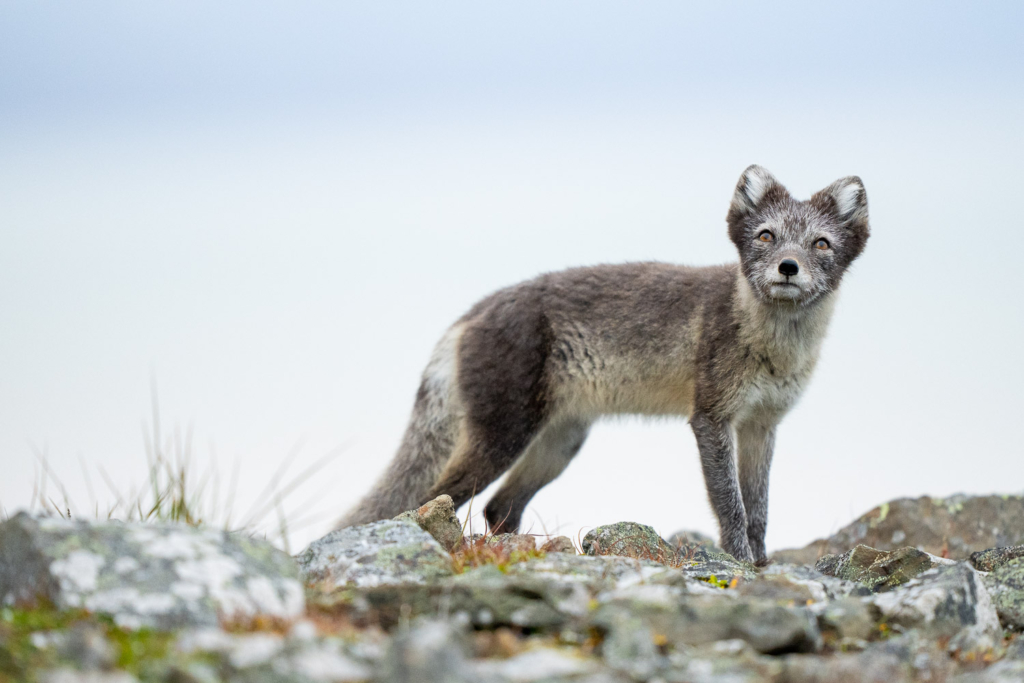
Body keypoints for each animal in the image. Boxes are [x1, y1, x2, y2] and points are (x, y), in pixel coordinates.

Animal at [339, 166, 868, 565]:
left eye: (820, 244)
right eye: (766, 236)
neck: (772, 345)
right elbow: (731, 507)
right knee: (432, 500)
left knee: (498, 507)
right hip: (503, 438)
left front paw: (760, 563)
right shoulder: (712, 419)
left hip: (560, 443)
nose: (787, 267)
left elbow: (758, 508)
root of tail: (472, 312)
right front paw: (739, 564)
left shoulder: (762, 425)